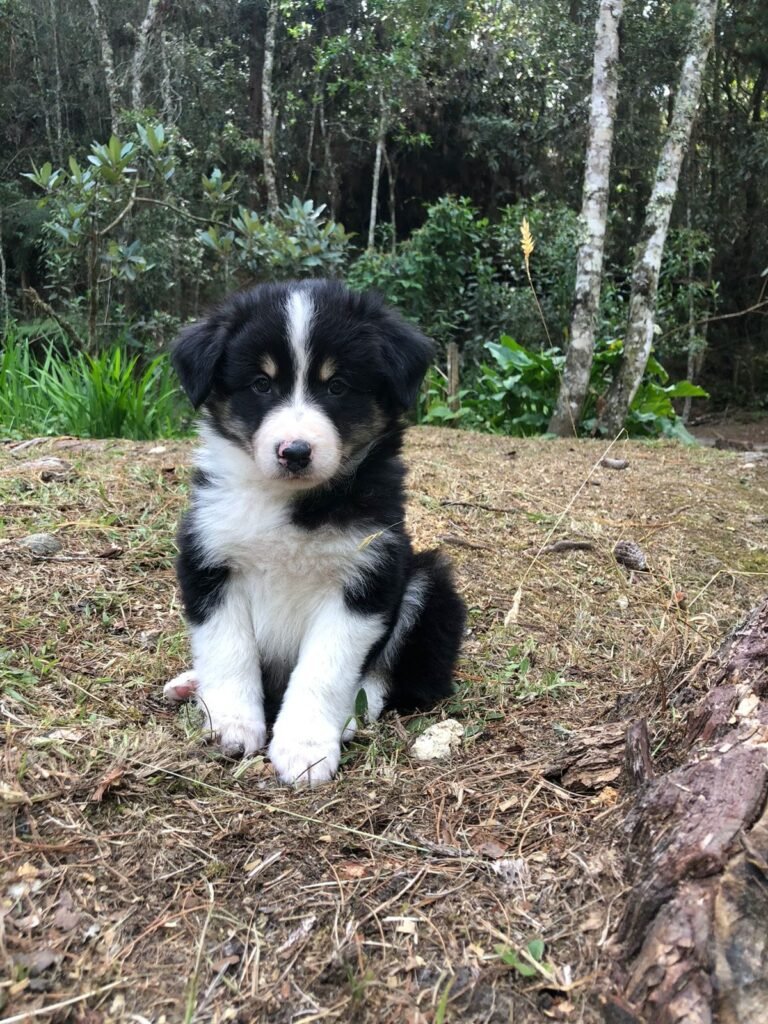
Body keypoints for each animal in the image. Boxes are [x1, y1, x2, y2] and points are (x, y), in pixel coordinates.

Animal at [167, 284, 466, 786]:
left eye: (337, 386)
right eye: (261, 384)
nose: (295, 452)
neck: (292, 503)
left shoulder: (366, 578)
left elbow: (324, 669)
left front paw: (304, 748)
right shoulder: (208, 557)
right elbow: (228, 649)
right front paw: (231, 724)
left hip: (429, 584)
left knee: (397, 677)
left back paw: (353, 714)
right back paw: (191, 684)